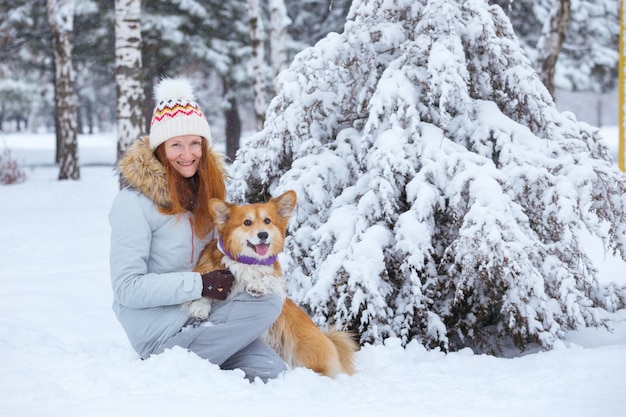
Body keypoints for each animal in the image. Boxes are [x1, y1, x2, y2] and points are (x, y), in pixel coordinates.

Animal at [183, 192, 356, 376]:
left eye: (267, 221)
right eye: (247, 222)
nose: (263, 235)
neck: (248, 262)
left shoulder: (274, 279)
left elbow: (268, 279)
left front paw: (257, 285)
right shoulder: (208, 272)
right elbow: (205, 286)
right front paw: (200, 307)